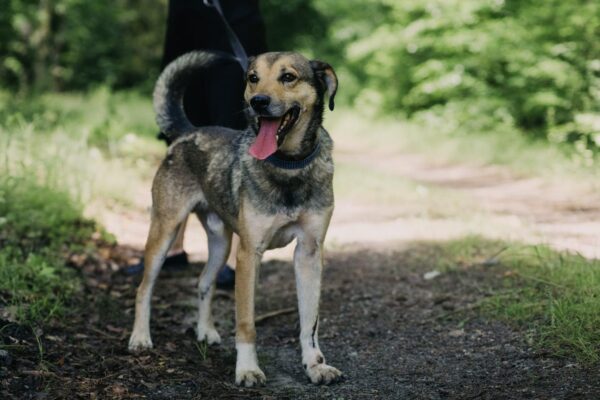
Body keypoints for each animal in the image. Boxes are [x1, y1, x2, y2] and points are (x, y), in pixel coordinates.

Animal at [128, 50, 340, 388]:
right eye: (253, 77)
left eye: (288, 77)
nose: (258, 102)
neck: (288, 166)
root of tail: (189, 132)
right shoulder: (248, 254)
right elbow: (246, 323)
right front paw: (248, 369)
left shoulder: (309, 253)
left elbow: (310, 322)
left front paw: (315, 365)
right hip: (165, 231)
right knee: (143, 289)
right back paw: (140, 338)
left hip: (220, 242)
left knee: (204, 281)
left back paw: (205, 331)